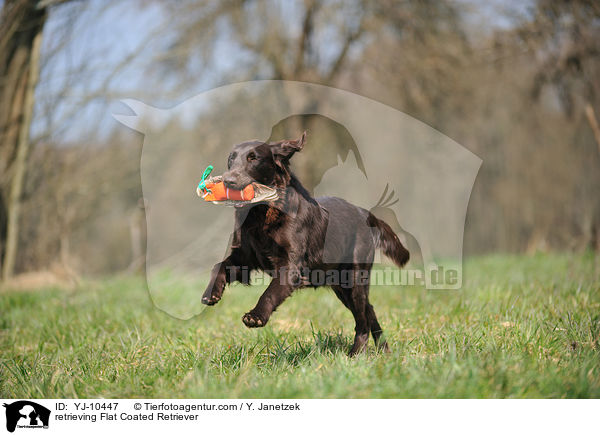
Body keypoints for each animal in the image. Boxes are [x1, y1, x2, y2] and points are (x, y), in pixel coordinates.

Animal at [202, 133, 408, 358]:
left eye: (253, 158)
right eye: (231, 158)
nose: (228, 180)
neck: (263, 212)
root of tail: (365, 213)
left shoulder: (291, 265)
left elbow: (271, 291)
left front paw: (256, 316)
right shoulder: (245, 257)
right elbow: (219, 265)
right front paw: (211, 294)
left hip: (354, 278)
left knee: (362, 321)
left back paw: (354, 355)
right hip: (341, 286)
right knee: (369, 311)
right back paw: (384, 351)